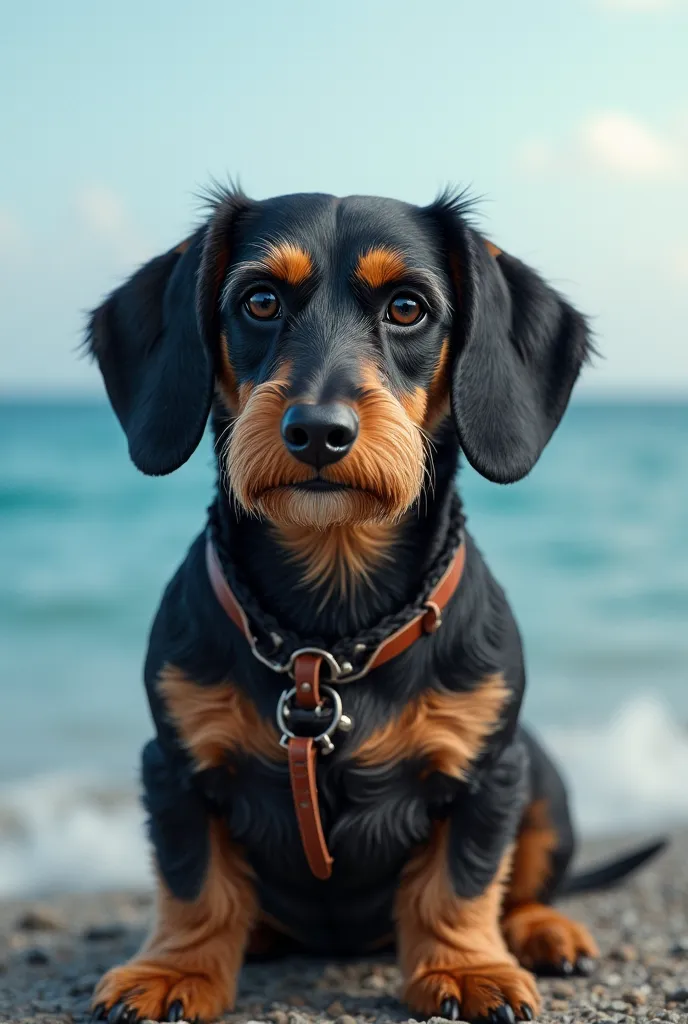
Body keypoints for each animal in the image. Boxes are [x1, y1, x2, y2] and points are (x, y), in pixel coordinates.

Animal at [86, 188, 659, 1019]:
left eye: (408, 307)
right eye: (259, 300)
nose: (318, 432)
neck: (327, 640)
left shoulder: (490, 775)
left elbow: (462, 883)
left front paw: (465, 968)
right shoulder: (174, 766)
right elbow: (194, 886)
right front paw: (174, 971)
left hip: (543, 774)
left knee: (524, 887)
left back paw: (543, 931)